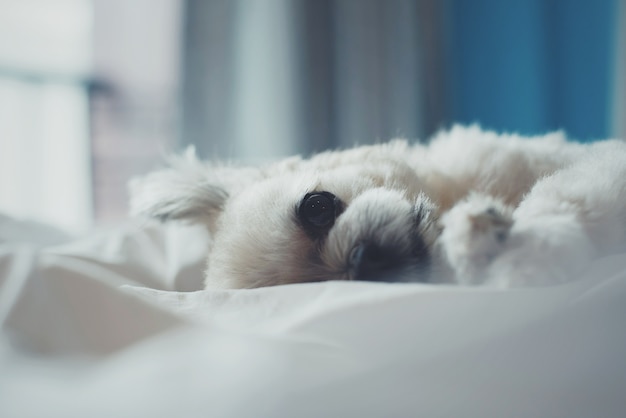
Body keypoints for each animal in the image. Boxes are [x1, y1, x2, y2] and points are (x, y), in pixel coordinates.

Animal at [128, 125, 624, 288]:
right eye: (317, 285)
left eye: (316, 206)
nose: (363, 260)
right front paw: (481, 239)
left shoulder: (600, 165)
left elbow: (558, 195)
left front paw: (526, 250)